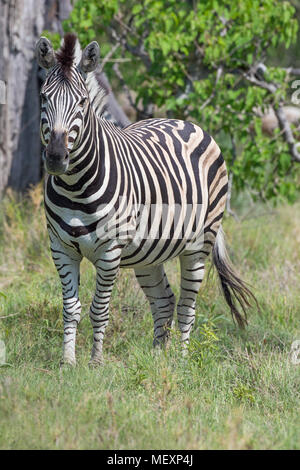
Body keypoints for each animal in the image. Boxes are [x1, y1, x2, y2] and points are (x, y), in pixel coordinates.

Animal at [34, 35, 255, 370]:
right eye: (44, 98)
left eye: (82, 103)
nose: (57, 158)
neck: (75, 186)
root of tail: (184, 122)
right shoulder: (60, 248)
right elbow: (71, 308)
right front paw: (68, 363)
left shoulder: (110, 251)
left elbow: (99, 309)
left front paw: (95, 362)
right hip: (148, 252)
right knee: (164, 301)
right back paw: (157, 359)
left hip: (199, 244)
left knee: (186, 307)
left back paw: (181, 362)